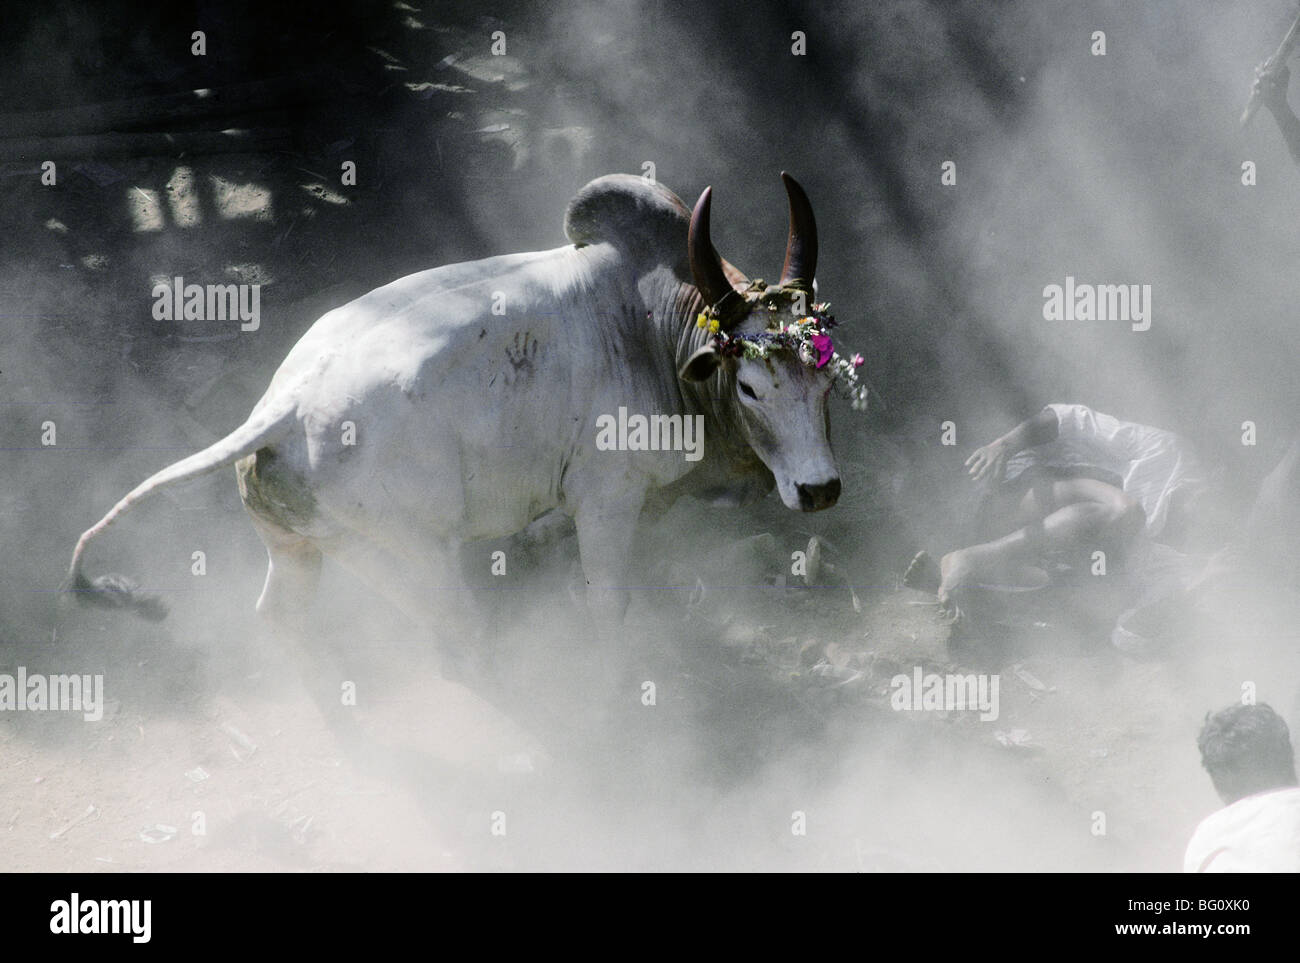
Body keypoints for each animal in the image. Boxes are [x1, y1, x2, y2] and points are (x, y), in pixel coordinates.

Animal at [64, 173, 846, 643]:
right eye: (749, 387)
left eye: (828, 377)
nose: (819, 489)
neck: (652, 324)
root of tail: (283, 407)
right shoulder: (608, 499)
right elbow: (606, 601)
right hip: (414, 557)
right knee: (456, 636)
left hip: (297, 547)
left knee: (282, 618)